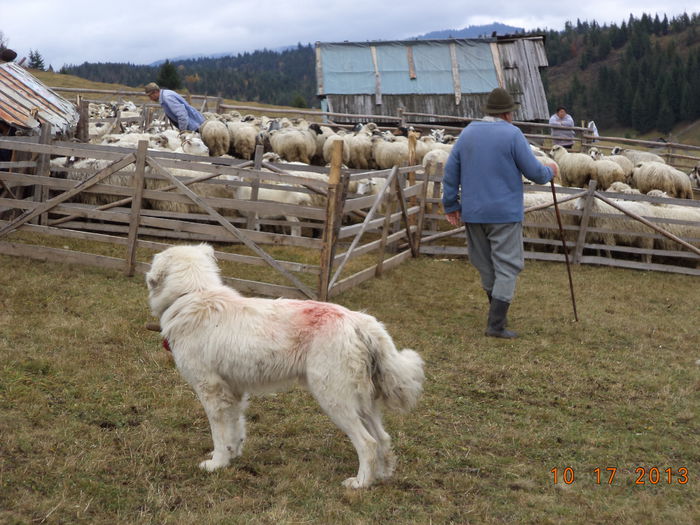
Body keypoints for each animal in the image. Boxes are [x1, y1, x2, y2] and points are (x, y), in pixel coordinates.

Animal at [145, 244, 424, 486]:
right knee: (382, 438)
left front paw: (216, 463)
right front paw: (232, 456)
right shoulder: (233, 390)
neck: (194, 294)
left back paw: (360, 483)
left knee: (368, 443)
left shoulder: (211, 390)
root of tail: (358, 321)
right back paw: (382, 475)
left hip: (335, 399)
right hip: (364, 403)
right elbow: (236, 427)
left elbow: (219, 433)